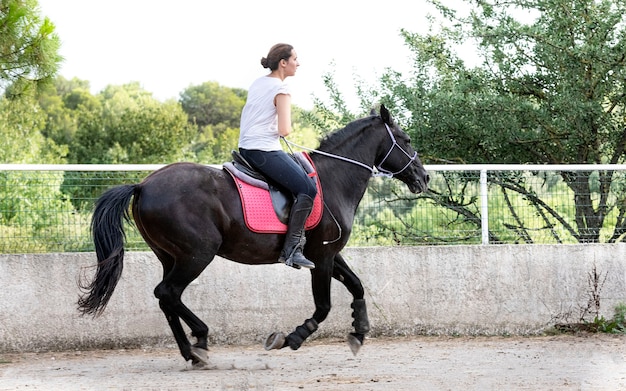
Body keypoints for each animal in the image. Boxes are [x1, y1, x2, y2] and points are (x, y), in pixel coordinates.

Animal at [78, 104, 426, 368]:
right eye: (406, 139)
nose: (424, 177)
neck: (333, 179)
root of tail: (143, 185)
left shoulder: (328, 253)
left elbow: (356, 285)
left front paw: (359, 332)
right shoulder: (323, 256)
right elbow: (324, 306)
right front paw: (291, 338)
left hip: (171, 256)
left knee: (167, 298)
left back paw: (192, 352)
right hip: (197, 253)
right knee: (168, 292)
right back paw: (200, 341)